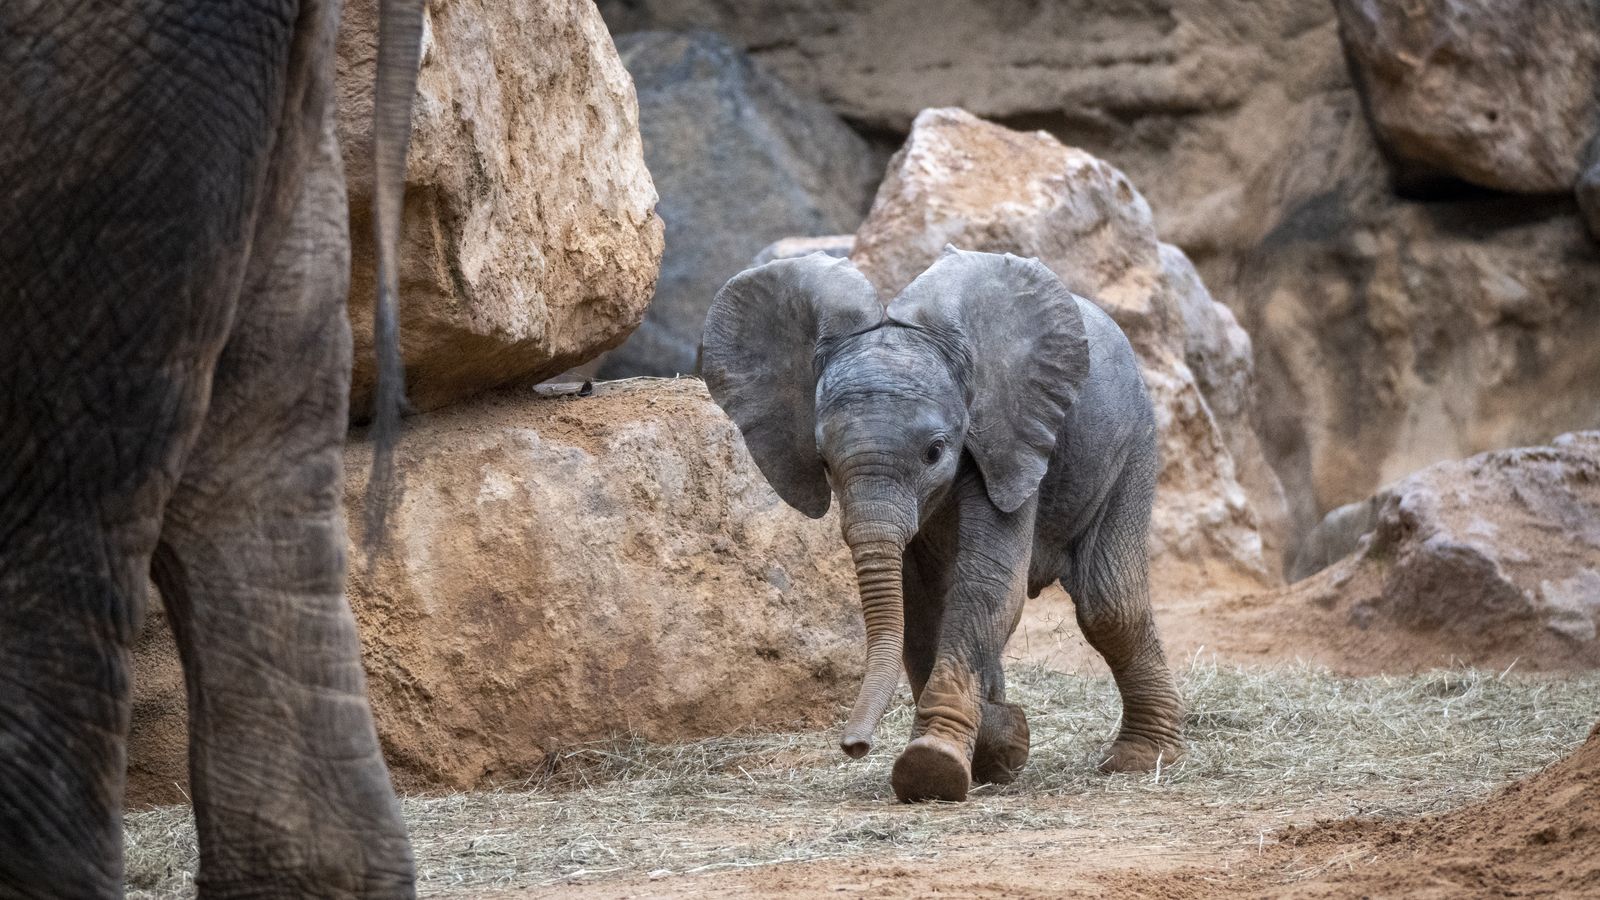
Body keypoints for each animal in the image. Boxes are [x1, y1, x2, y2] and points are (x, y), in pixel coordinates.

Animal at [702, 247, 1185, 803]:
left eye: (935, 452)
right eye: (823, 462)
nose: (854, 747)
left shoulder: (1007, 442)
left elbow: (987, 589)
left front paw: (932, 767)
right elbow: (921, 606)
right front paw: (1001, 746)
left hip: (1133, 442)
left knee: (1109, 604)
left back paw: (1140, 760)